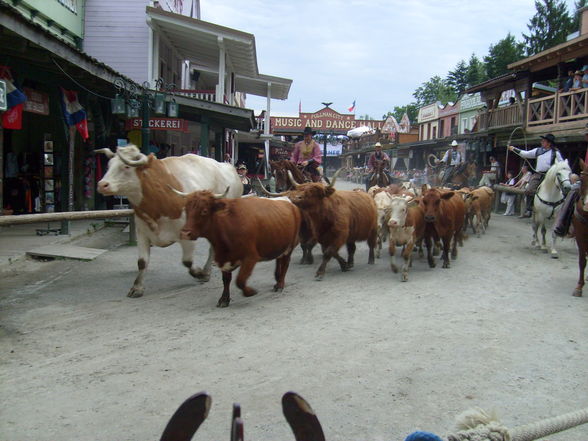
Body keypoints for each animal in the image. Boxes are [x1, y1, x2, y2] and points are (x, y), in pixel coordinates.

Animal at [96, 146, 241, 298]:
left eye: (126, 166)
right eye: (108, 165)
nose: (102, 184)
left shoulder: (187, 235)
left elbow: (187, 261)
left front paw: (199, 273)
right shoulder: (142, 232)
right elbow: (142, 262)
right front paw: (137, 287)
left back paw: (207, 270)